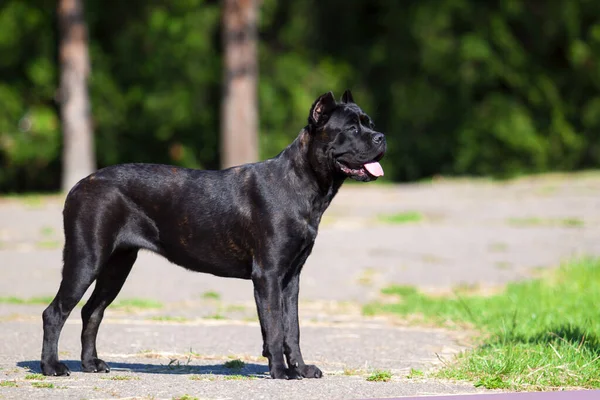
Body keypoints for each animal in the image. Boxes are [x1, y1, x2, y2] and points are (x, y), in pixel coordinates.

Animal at [43, 89, 390, 380]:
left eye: (369, 123)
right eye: (352, 129)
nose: (382, 136)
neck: (305, 182)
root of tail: (79, 185)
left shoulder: (291, 277)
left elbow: (292, 328)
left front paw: (301, 369)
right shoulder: (269, 274)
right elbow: (275, 327)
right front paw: (280, 372)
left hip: (117, 265)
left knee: (92, 311)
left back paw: (91, 364)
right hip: (86, 257)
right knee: (55, 311)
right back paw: (52, 367)